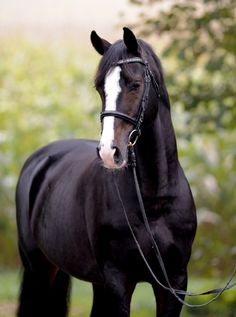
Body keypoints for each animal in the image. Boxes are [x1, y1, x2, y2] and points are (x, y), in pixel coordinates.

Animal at [15, 27, 197, 316]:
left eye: (135, 84)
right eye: (100, 88)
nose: (109, 152)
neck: (154, 200)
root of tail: (40, 159)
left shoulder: (175, 282)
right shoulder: (118, 279)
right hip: (39, 269)